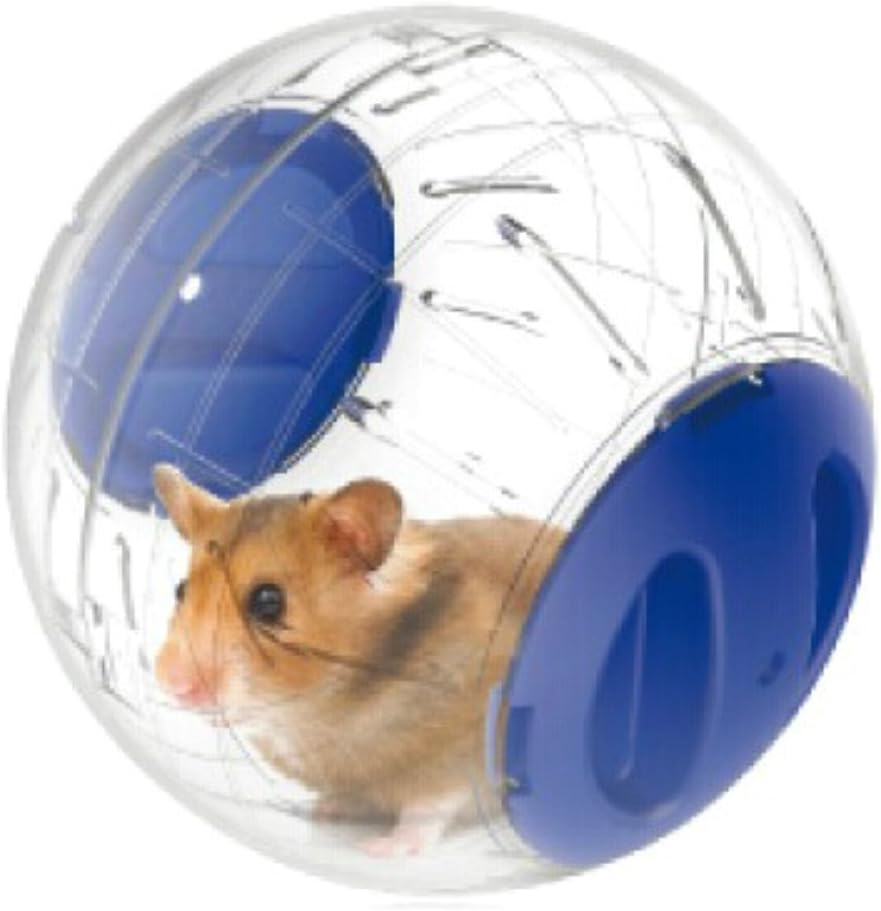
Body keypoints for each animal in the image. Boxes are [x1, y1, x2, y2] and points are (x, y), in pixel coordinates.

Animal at [152, 464, 563, 857]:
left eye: (268, 602)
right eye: (180, 589)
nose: (172, 684)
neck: (320, 710)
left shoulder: (460, 757)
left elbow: (430, 808)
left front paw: (381, 849)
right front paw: (323, 810)